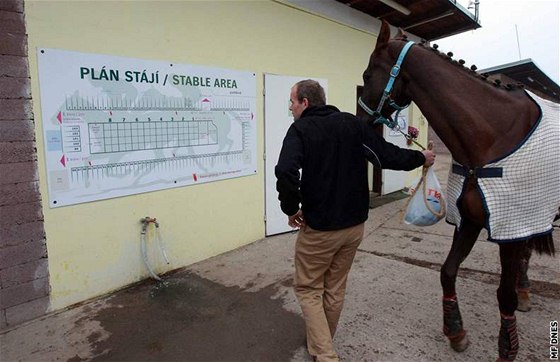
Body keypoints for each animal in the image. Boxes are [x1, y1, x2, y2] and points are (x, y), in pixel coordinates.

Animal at [356, 19, 556, 362]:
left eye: (368, 75)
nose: (359, 122)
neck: (492, 137)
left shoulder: (510, 227)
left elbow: (503, 294)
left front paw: (507, 349)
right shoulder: (470, 221)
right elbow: (448, 272)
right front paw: (456, 332)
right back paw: (525, 291)